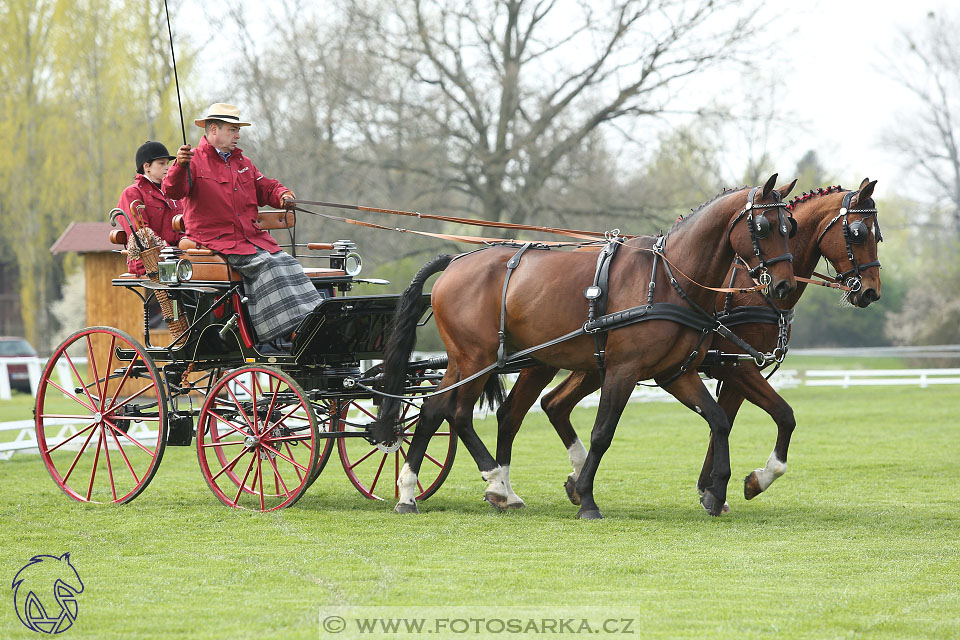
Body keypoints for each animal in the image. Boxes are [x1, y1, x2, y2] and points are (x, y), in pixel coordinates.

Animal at [372, 172, 800, 516]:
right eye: (763, 225)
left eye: (790, 226)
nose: (783, 286)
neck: (668, 277)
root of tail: (457, 260)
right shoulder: (625, 370)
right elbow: (602, 433)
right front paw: (587, 499)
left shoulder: (675, 374)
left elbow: (719, 421)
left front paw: (718, 490)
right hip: (477, 358)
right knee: (454, 412)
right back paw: (482, 483)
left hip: (474, 361)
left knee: (437, 410)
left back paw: (424, 493)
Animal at [492, 180, 880, 516]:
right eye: (857, 233)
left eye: (877, 234)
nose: (871, 292)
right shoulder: (734, 366)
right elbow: (778, 415)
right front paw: (748, 481)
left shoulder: (728, 368)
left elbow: (730, 421)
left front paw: (714, 489)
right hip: (548, 361)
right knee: (512, 413)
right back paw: (506, 489)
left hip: (592, 364)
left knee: (554, 404)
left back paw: (569, 481)